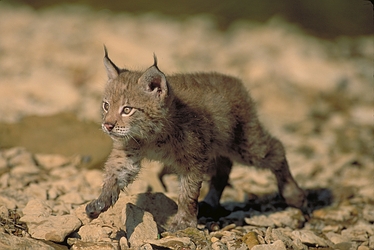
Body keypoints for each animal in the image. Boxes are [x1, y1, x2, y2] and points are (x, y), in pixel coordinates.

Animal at [86, 47, 306, 230]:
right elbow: (114, 176)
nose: (108, 125)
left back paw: (294, 195)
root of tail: (235, 82)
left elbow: (188, 194)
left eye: (127, 110)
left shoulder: (192, 160)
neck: (151, 136)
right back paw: (211, 202)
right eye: (106, 106)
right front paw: (101, 201)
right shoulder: (128, 153)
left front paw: (183, 222)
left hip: (245, 145)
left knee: (277, 148)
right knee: (225, 166)